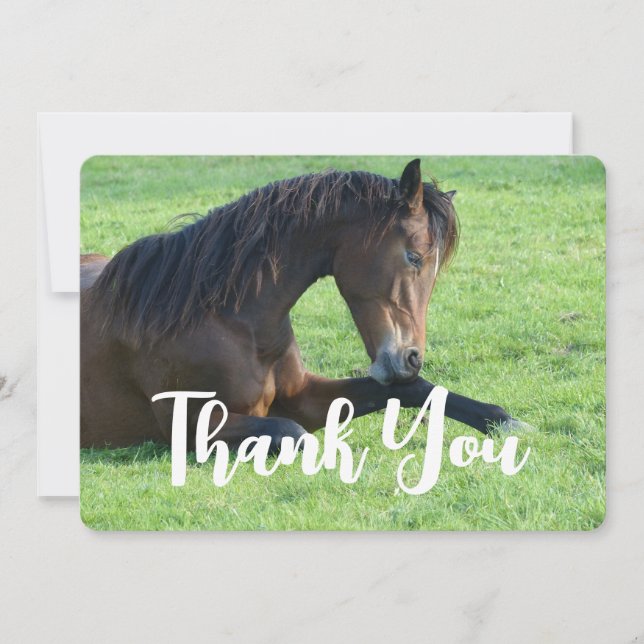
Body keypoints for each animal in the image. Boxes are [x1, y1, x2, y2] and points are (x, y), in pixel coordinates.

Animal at [81, 159, 524, 452]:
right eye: (414, 257)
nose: (412, 357)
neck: (230, 320)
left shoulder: (304, 396)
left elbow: (418, 389)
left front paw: (505, 421)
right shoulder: (190, 426)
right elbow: (292, 433)